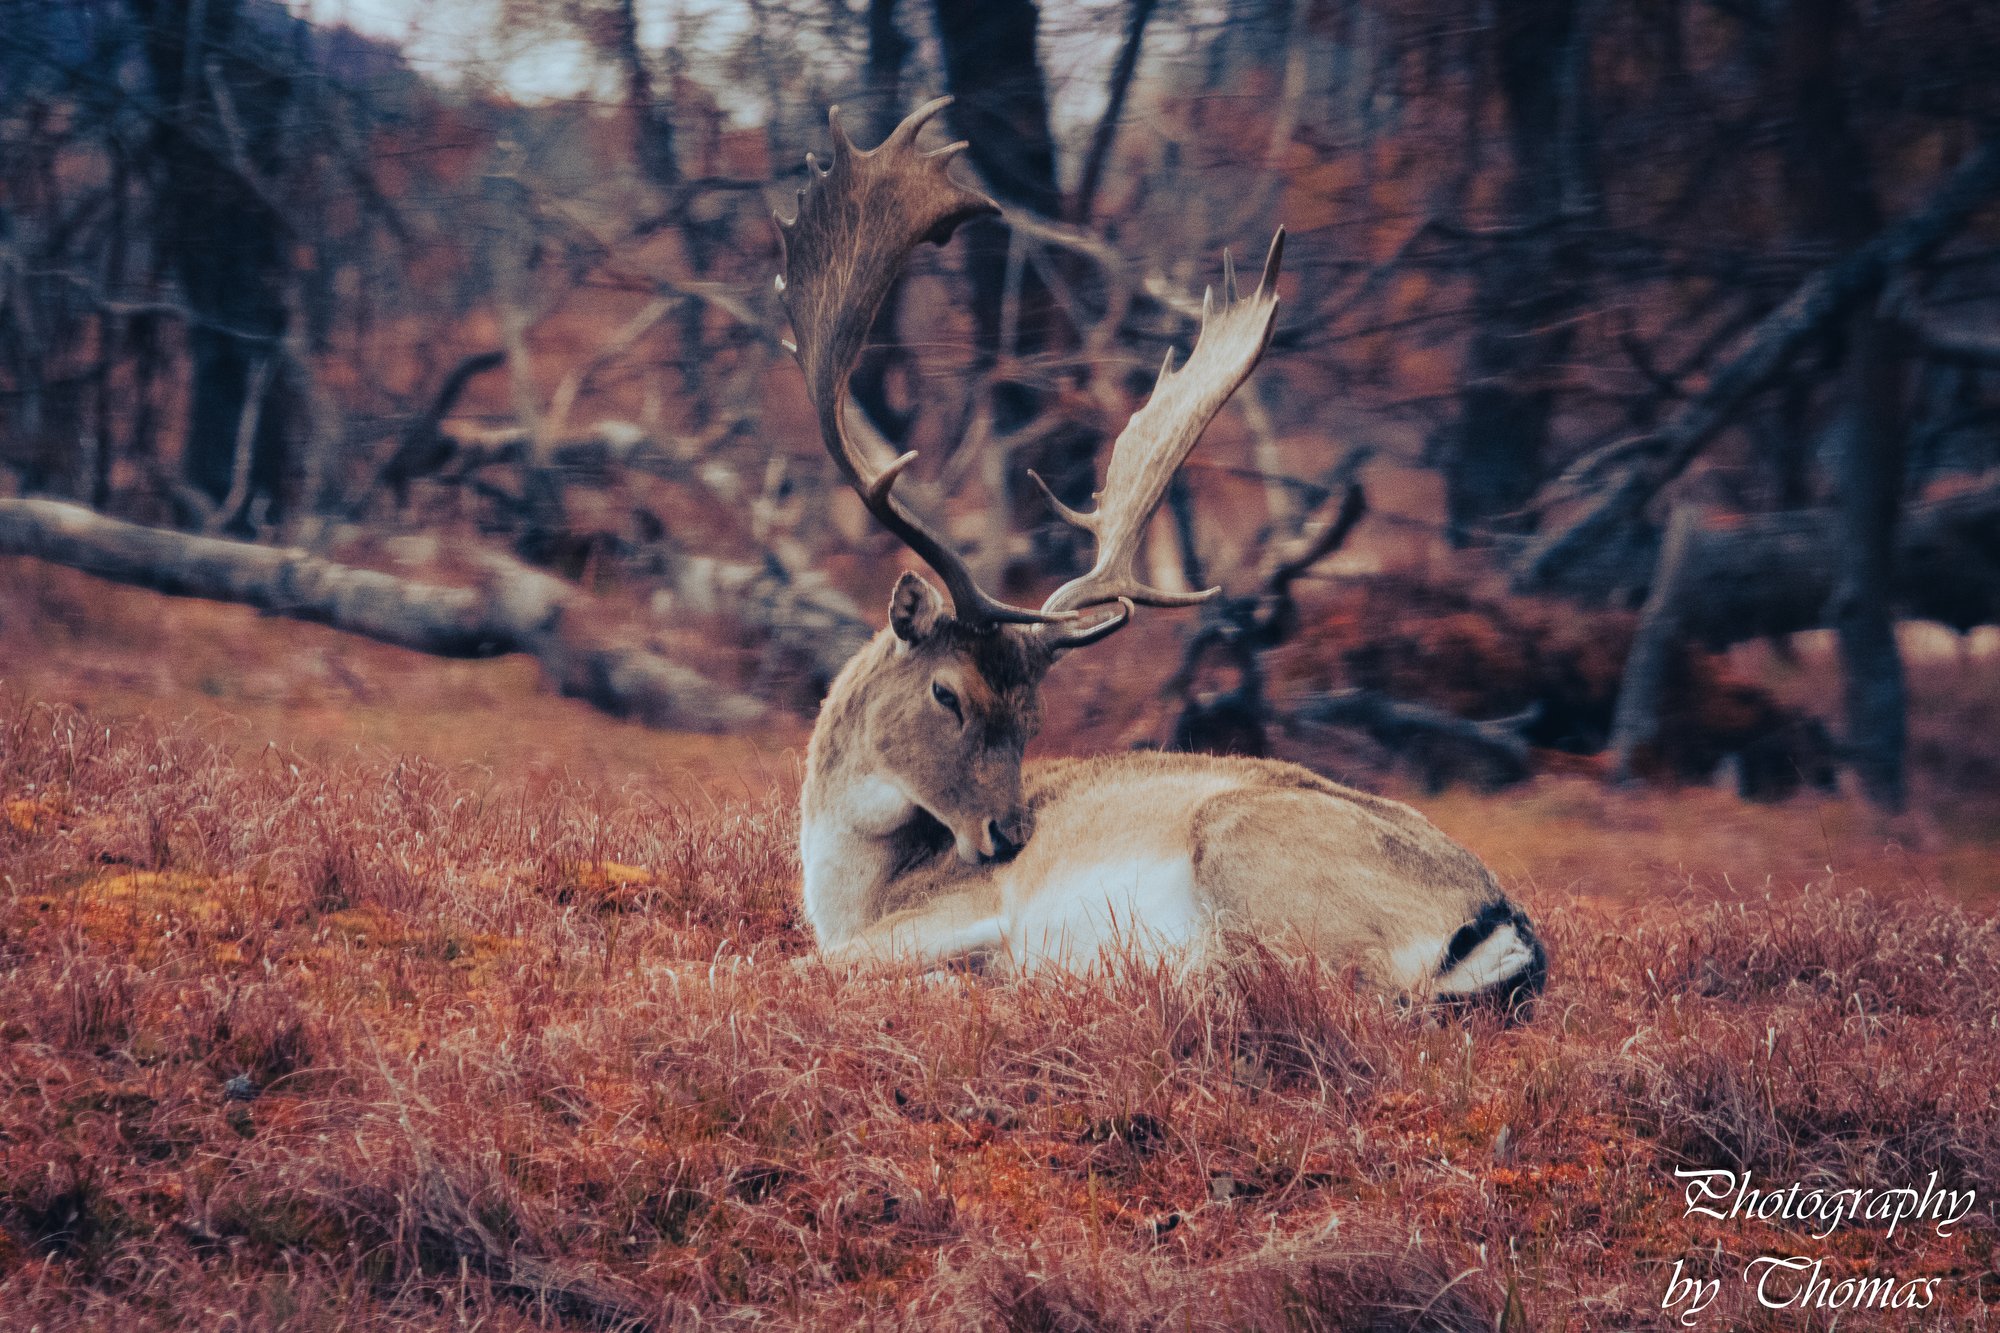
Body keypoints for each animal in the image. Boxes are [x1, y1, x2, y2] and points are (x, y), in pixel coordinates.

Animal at [776, 98, 1545, 1008]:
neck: (853, 893)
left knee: (1302, 988)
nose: (1009, 836)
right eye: (948, 694)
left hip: (1246, 852)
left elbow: (806, 963)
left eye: (1030, 715)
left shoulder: (961, 907)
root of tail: (1501, 927)